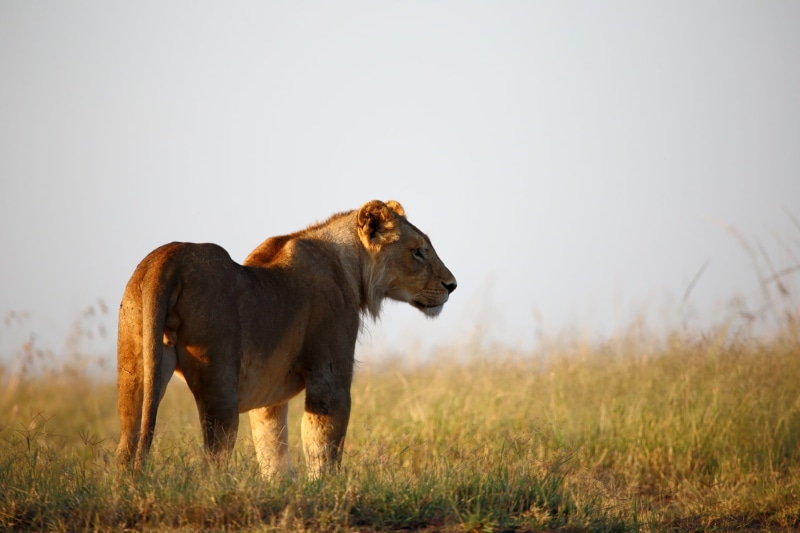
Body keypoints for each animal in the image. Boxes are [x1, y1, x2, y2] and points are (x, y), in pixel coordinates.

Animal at [116, 200, 456, 478]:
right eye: (417, 251)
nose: (452, 285)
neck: (351, 266)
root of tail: (166, 260)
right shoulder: (328, 376)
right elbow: (322, 445)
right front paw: (324, 491)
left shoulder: (269, 394)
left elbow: (273, 448)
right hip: (219, 380)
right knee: (213, 459)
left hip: (136, 369)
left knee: (128, 443)